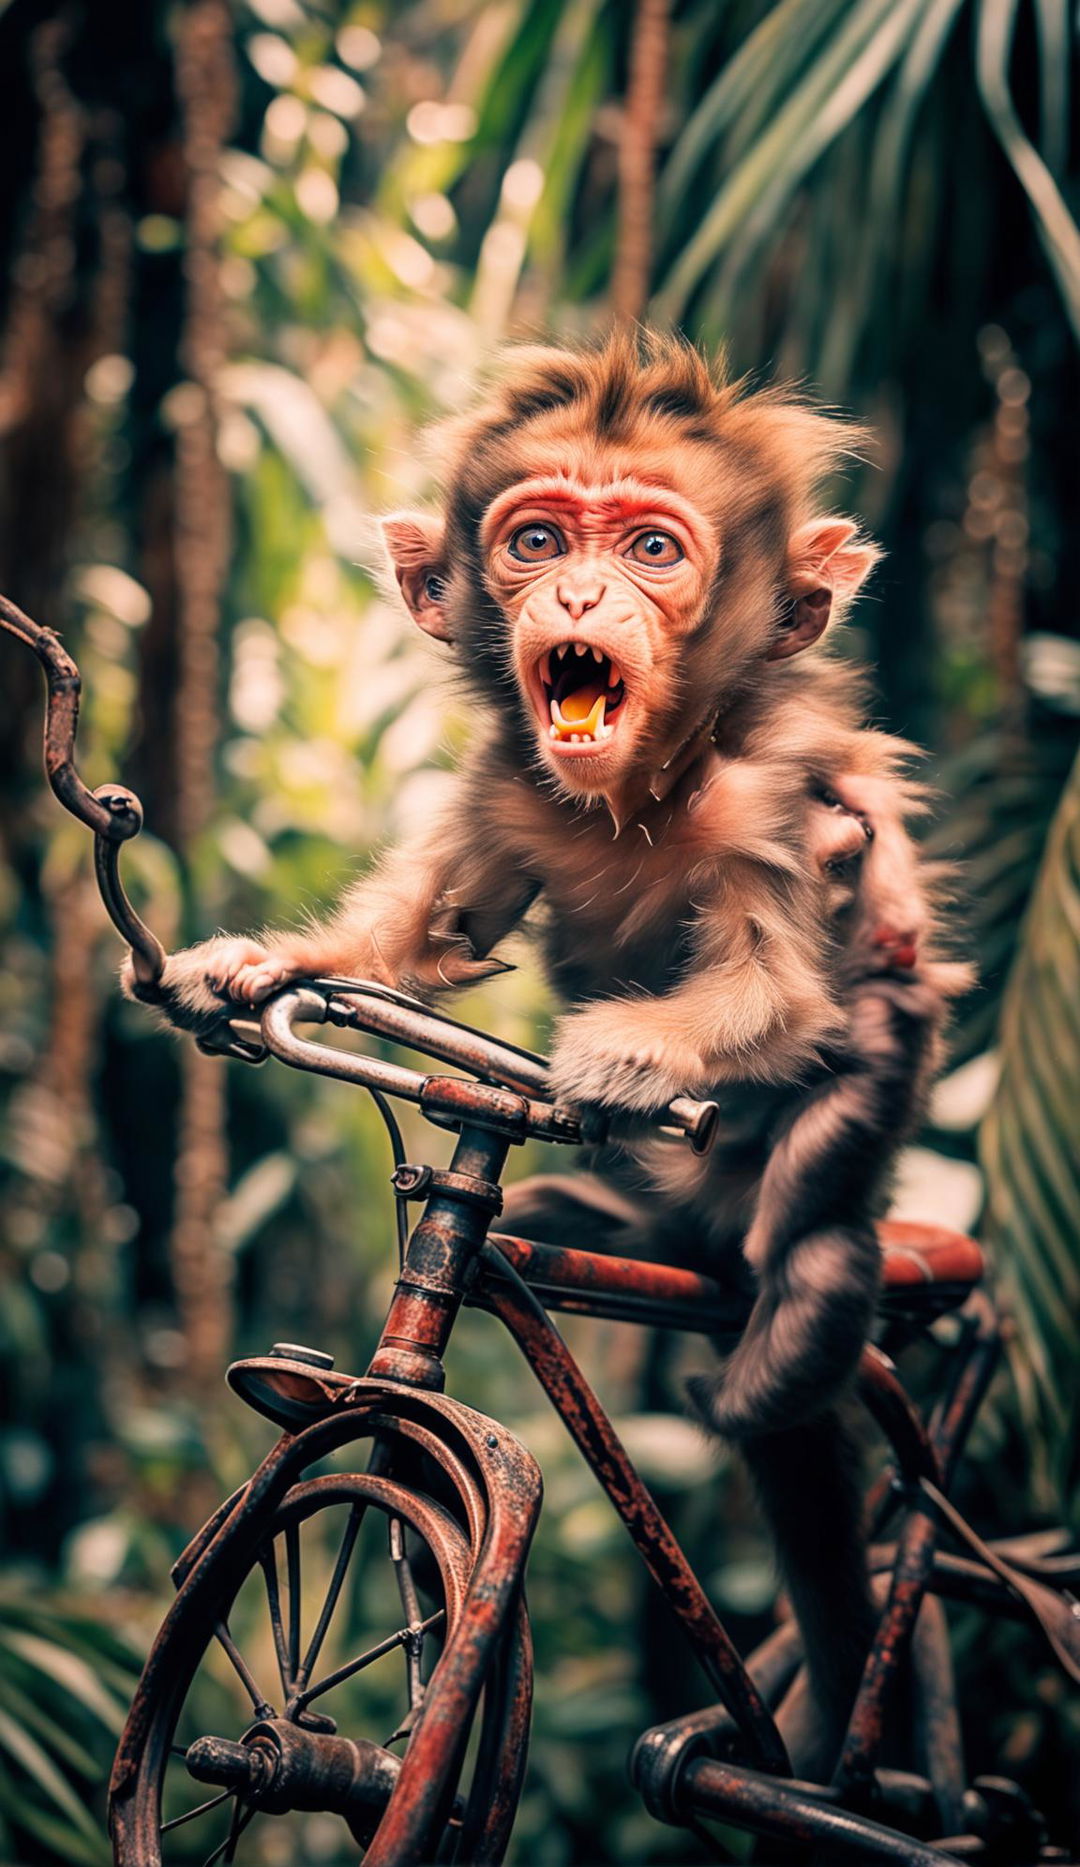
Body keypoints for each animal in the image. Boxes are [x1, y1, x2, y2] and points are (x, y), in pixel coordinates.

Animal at [134, 328, 964, 1769]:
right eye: (534, 539)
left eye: (651, 547)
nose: (576, 588)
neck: (639, 788)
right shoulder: (507, 784)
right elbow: (433, 926)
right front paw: (262, 967)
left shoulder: (774, 787)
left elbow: (780, 987)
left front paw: (625, 1056)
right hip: (650, 1216)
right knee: (582, 1221)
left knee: (824, 1178)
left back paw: (782, 1327)